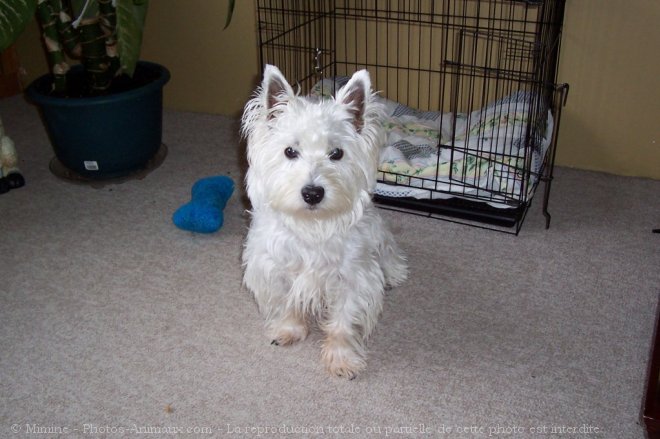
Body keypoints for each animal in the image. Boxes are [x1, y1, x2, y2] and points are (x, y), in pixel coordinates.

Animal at [242, 66, 408, 382]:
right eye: (290, 151)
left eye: (337, 153)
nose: (312, 193)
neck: (313, 224)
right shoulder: (275, 268)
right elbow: (287, 303)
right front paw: (288, 331)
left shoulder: (352, 277)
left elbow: (343, 321)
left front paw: (341, 360)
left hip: (377, 235)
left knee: (388, 250)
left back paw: (393, 273)